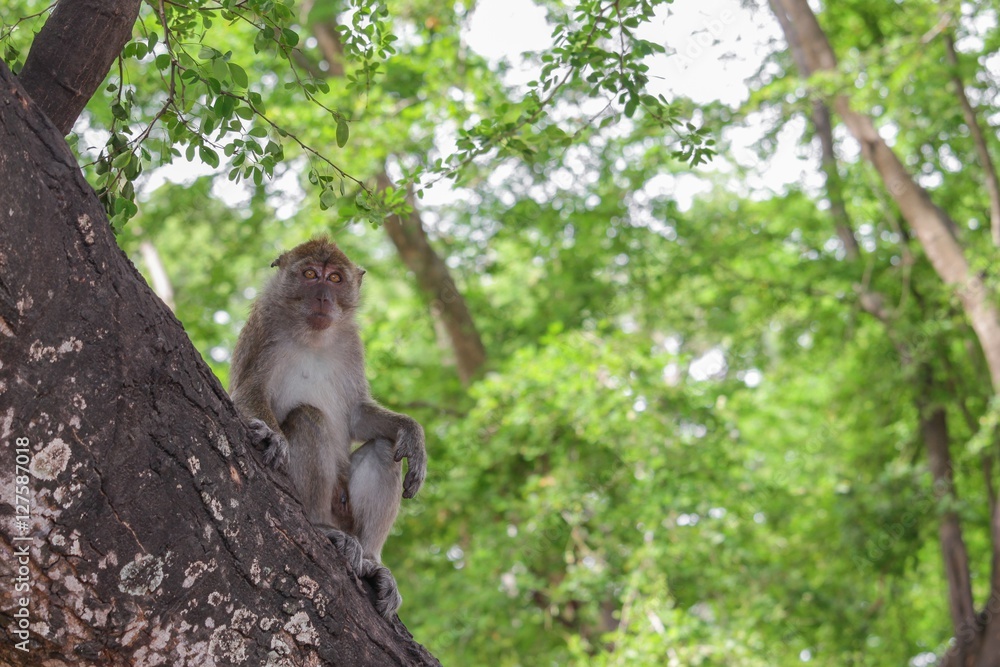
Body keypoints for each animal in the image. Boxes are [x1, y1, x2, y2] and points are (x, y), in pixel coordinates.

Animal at [229, 237, 426, 619]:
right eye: (309, 275)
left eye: (335, 278)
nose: (323, 297)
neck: (313, 337)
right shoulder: (264, 328)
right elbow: (248, 392)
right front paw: (273, 435)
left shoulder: (352, 345)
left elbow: (358, 415)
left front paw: (413, 432)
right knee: (308, 417)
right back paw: (320, 527)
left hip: (344, 506)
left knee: (385, 449)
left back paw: (371, 560)